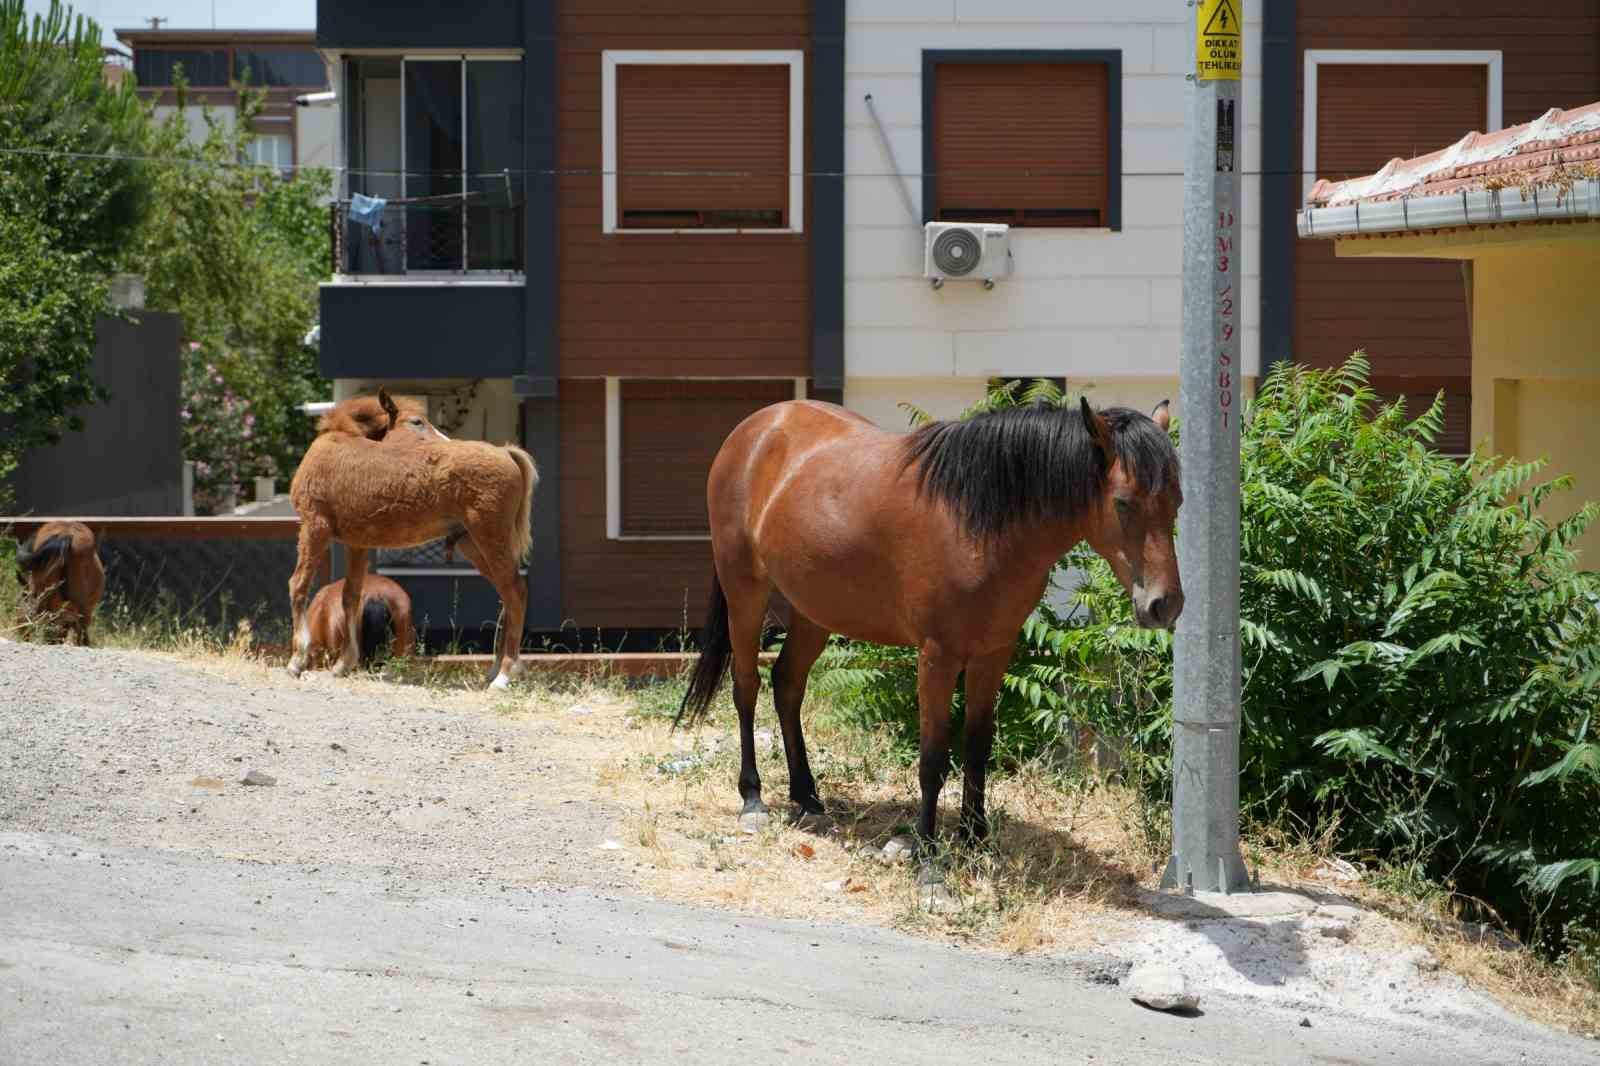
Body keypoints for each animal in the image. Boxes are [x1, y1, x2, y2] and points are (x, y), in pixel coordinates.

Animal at [288, 388, 537, 681]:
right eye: (417, 422)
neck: (337, 441)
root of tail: (505, 452)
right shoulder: (357, 543)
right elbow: (351, 596)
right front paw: (344, 663)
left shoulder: (314, 527)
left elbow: (299, 585)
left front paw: (297, 659)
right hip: (474, 545)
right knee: (507, 595)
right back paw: (497, 669)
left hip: (490, 537)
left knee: (516, 591)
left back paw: (505, 674)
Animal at [668, 393, 1184, 870]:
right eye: (1123, 503)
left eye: (1177, 501)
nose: (1165, 605)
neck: (978, 523)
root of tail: (759, 426)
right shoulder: (937, 656)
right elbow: (934, 758)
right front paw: (929, 857)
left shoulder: (993, 654)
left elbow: (977, 748)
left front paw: (976, 840)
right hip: (745, 592)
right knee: (746, 687)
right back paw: (753, 799)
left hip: (814, 609)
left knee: (788, 685)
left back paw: (808, 798)